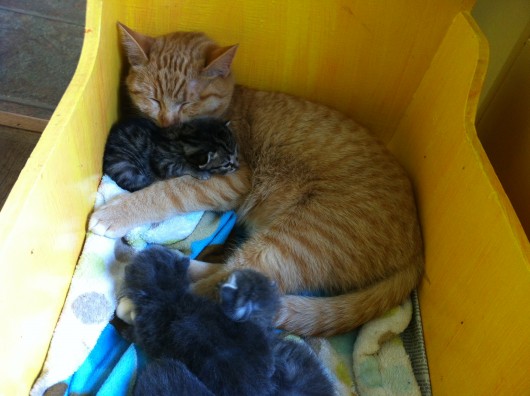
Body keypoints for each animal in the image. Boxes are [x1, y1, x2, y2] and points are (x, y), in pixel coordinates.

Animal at [102, 116, 238, 192]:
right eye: (226, 164)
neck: (184, 137)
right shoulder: (162, 163)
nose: (237, 167)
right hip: (126, 168)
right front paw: (201, 172)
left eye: (236, 151)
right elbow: (183, 166)